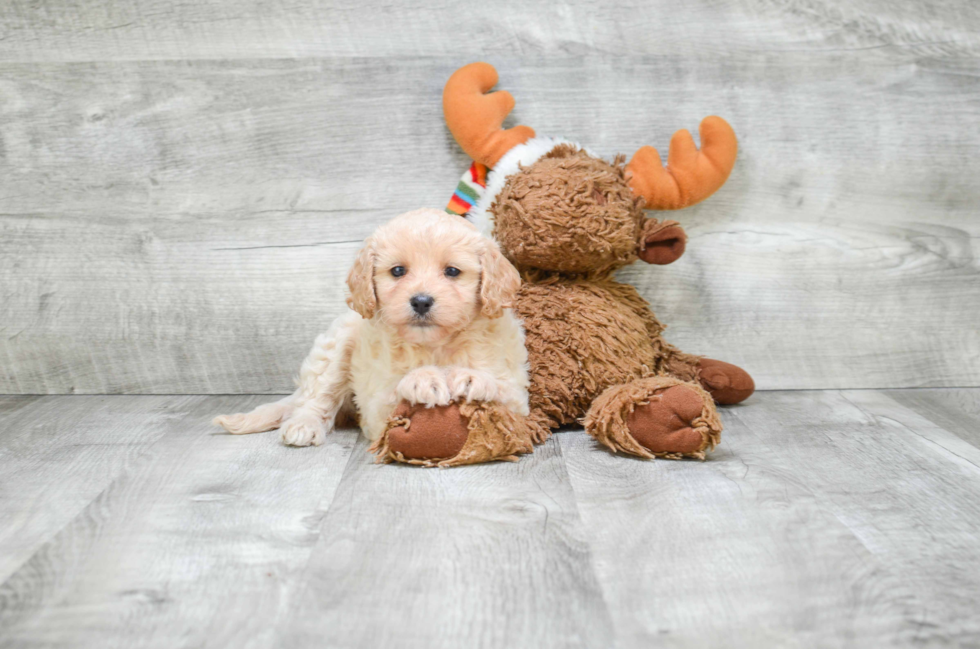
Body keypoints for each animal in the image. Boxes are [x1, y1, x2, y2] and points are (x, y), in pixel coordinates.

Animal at [212, 210, 528, 448]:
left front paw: (473, 378)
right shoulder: (375, 409)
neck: (434, 345)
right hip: (336, 347)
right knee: (317, 397)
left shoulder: (521, 407)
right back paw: (303, 425)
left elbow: (505, 393)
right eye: (398, 271)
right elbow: (392, 394)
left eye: (452, 271)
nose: (421, 301)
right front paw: (423, 379)